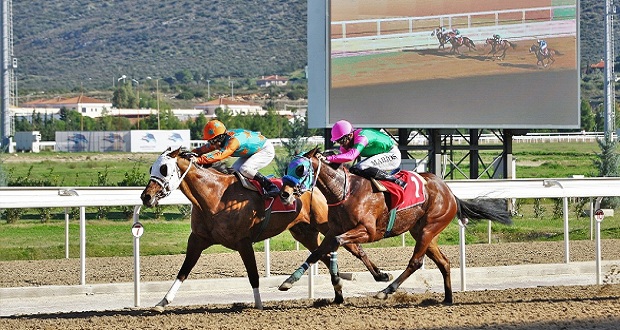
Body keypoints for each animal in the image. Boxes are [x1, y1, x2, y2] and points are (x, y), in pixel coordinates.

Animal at [142, 148, 392, 310]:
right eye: (151, 167)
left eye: (164, 168)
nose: (146, 197)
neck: (214, 196)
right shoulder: (198, 239)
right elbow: (183, 271)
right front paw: (162, 302)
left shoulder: (243, 242)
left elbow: (253, 275)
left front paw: (259, 304)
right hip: (304, 231)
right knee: (325, 252)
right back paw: (339, 289)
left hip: (326, 224)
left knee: (353, 247)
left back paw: (380, 275)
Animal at [278, 148, 512, 306]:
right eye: (288, 168)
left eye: (300, 169)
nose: (284, 194)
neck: (344, 191)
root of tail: (449, 191)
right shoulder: (333, 229)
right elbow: (316, 253)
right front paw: (288, 282)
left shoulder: (368, 231)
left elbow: (336, 245)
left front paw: (340, 281)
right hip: (423, 232)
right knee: (444, 262)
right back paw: (447, 298)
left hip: (429, 228)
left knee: (416, 262)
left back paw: (386, 290)